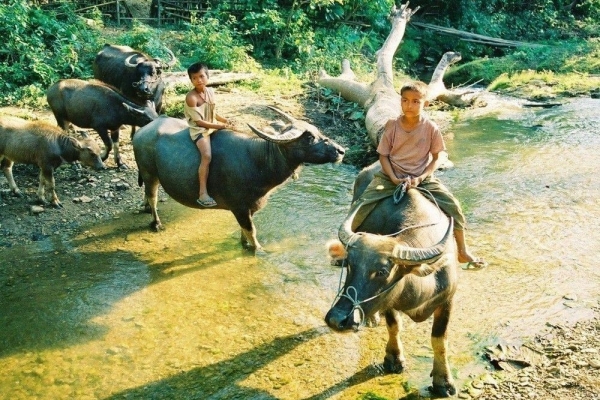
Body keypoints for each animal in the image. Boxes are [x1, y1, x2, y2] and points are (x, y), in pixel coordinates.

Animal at [133, 106, 344, 250]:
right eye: (309, 138)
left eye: (317, 131)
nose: (341, 150)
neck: (258, 161)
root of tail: (141, 131)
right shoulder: (239, 208)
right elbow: (251, 231)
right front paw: (258, 250)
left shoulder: (250, 208)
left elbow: (245, 232)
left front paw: (245, 245)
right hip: (149, 173)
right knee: (152, 196)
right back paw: (157, 223)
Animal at [326, 162, 458, 396]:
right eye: (349, 264)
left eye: (382, 271)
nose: (336, 319)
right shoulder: (389, 302)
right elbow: (394, 325)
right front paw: (394, 359)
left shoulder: (448, 299)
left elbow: (439, 339)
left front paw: (444, 381)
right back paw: (371, 319)